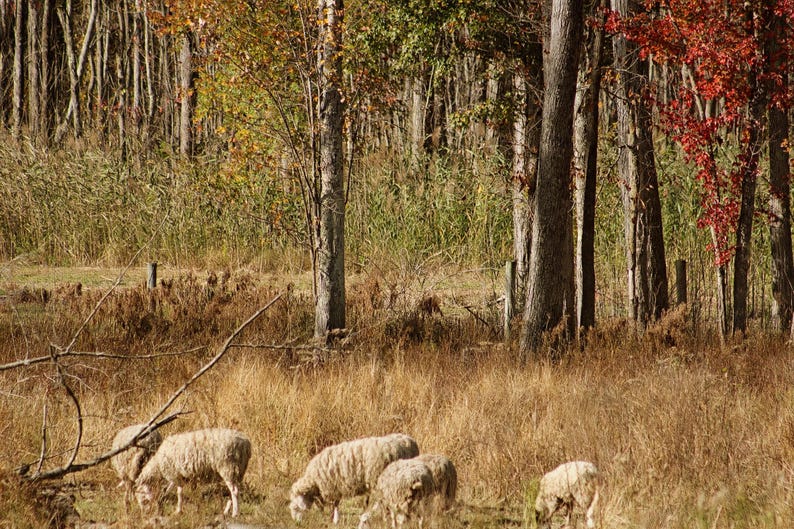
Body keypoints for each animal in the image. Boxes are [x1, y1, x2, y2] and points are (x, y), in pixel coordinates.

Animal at [289, 433, 420, 524]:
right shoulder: (336, 487)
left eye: (295, 508)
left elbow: (334, 505)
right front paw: (335, 519)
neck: (314, 481)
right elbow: (336, 503)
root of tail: (410, 442)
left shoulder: (331, 487)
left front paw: (333, 519)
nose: (297, 523)